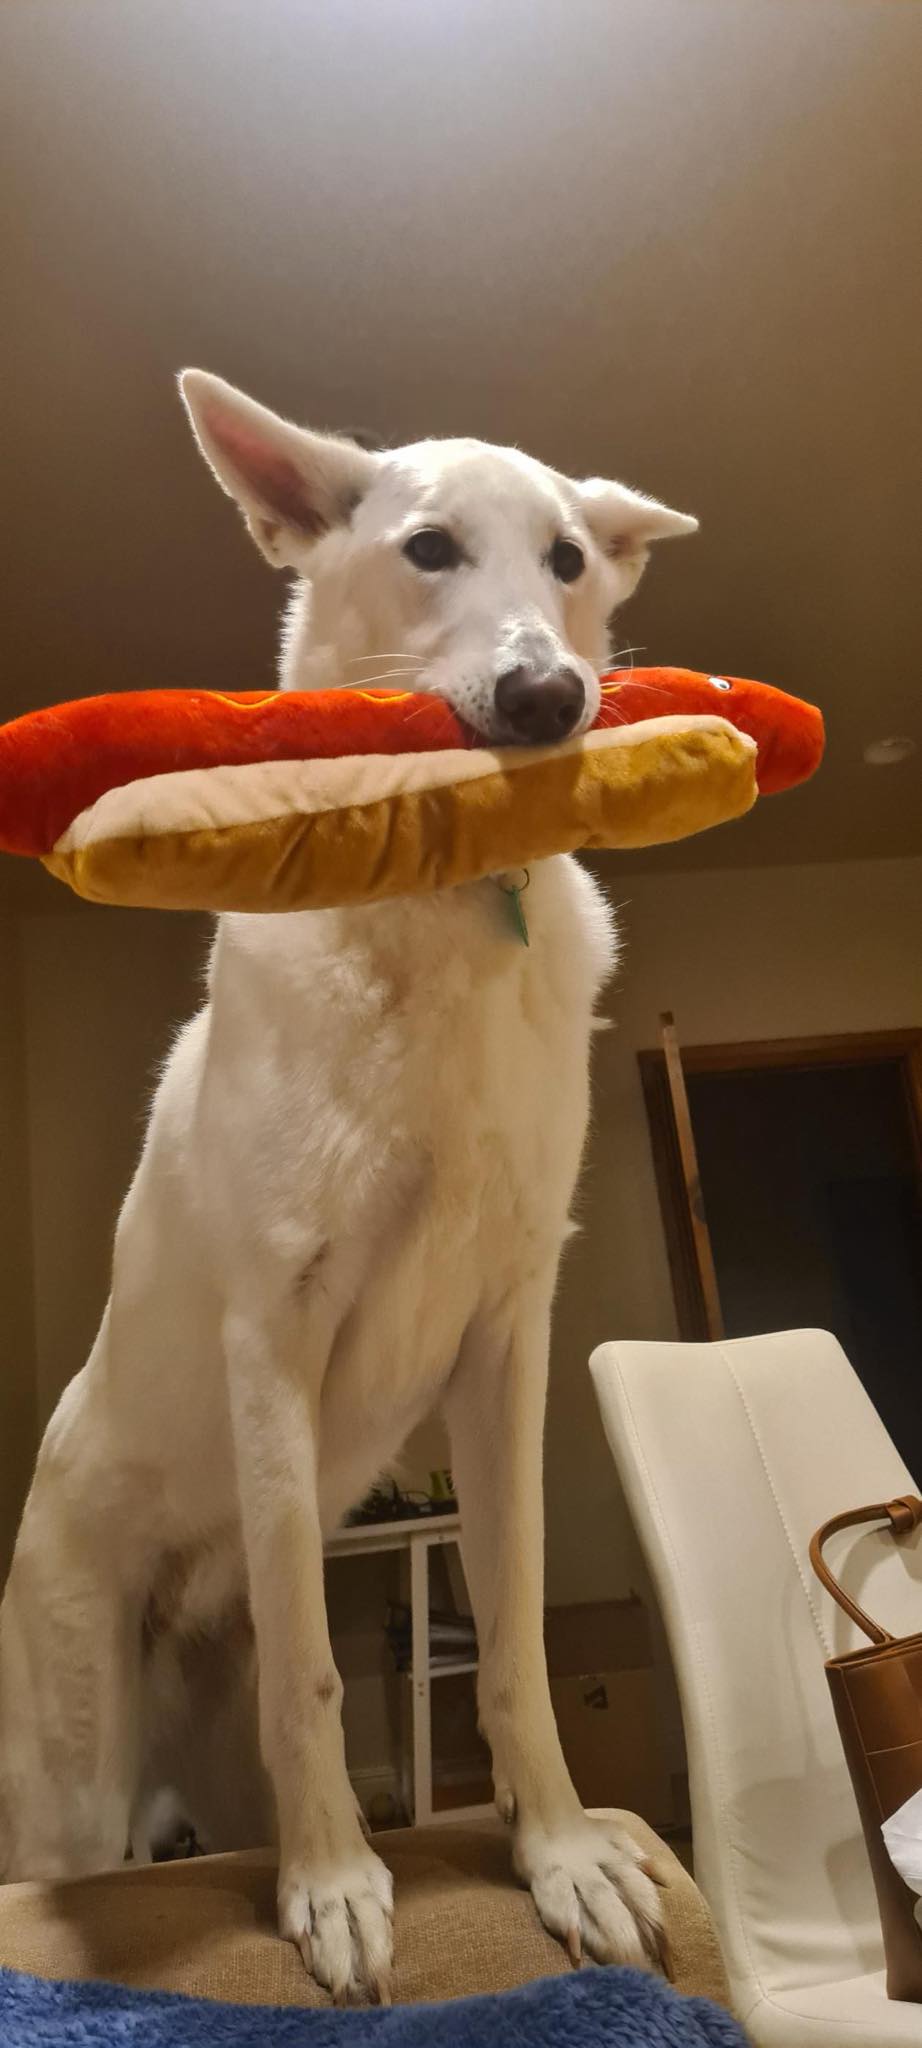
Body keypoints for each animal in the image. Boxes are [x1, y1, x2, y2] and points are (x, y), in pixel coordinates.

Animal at [0, 372, 692, 1998]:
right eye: (429, 548)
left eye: (568, 561)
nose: (545, 699)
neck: (440, 893)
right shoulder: (277, 1334)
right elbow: (321, 1674)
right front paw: (331, 1885)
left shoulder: (508, 1342)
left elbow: (511, 1631)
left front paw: (559, 1852)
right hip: (72, 1784)